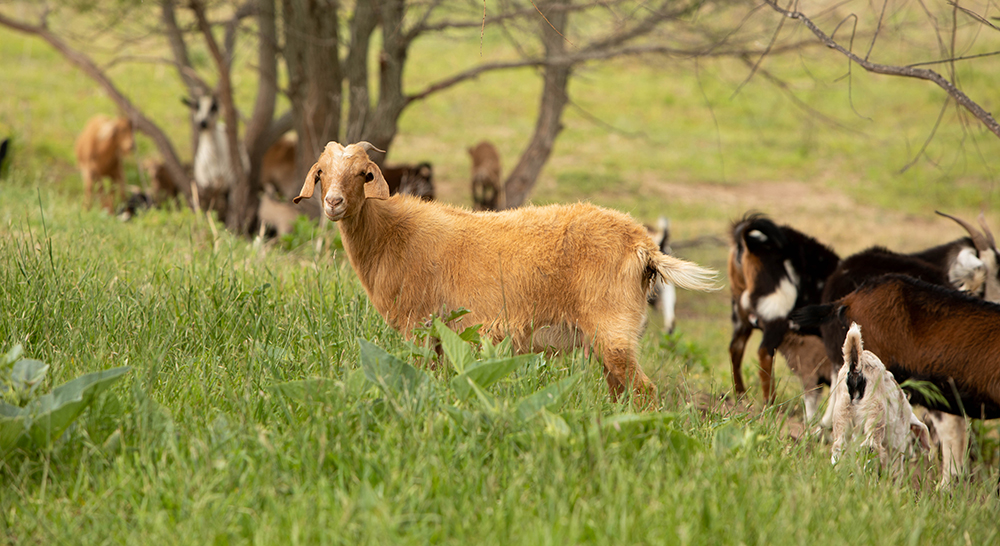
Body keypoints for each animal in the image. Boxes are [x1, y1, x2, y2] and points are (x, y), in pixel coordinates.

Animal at [292, 140, 720, 402]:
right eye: (321, 172)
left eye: (364, 174)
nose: (333, 203)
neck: (392, 233)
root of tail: (643, 245)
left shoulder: (419, 326)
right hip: (610, 337)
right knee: (622, 392)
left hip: (612, 328)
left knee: (645, 392)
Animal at [724, 212, 840, 412]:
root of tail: (747, 240)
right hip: (777, 309)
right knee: (764, 352)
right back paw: (771, 403)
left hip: (740, 314)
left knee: (736, 348)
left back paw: (741, 396)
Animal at [824, 324, 932, 468]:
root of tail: (857, 365)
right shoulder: (896, 444)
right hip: (875, 411)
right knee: (871, 447)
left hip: (842, 410)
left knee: (838, 447)